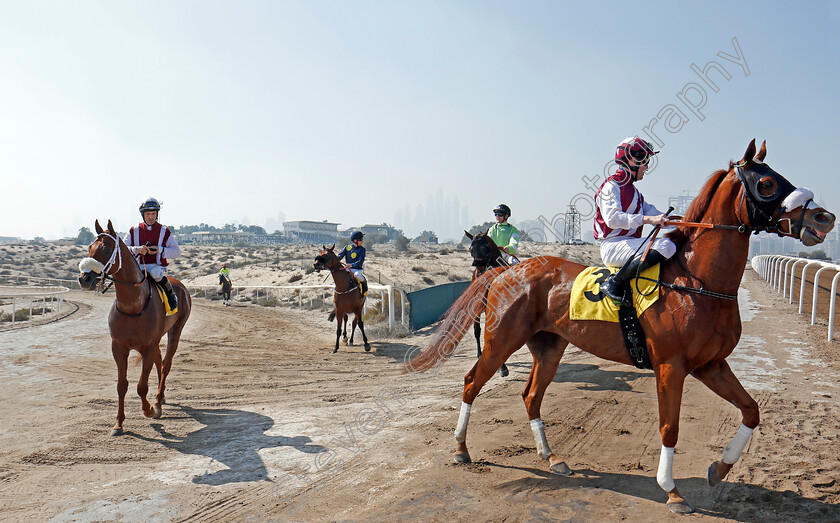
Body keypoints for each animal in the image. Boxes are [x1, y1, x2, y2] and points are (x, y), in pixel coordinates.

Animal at [78, 219, 191, 436]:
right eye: (89, 247)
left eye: (106, 249)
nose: (84, 278)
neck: (133, 306)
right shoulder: (118, 347)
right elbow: (122, 385)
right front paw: (118, 424)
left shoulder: (147, 347)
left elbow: (141, 386)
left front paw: (149, 410)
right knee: (159, 361)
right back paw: (161, 397)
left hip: (176, 331)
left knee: (166, 364)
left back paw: (158, 401)